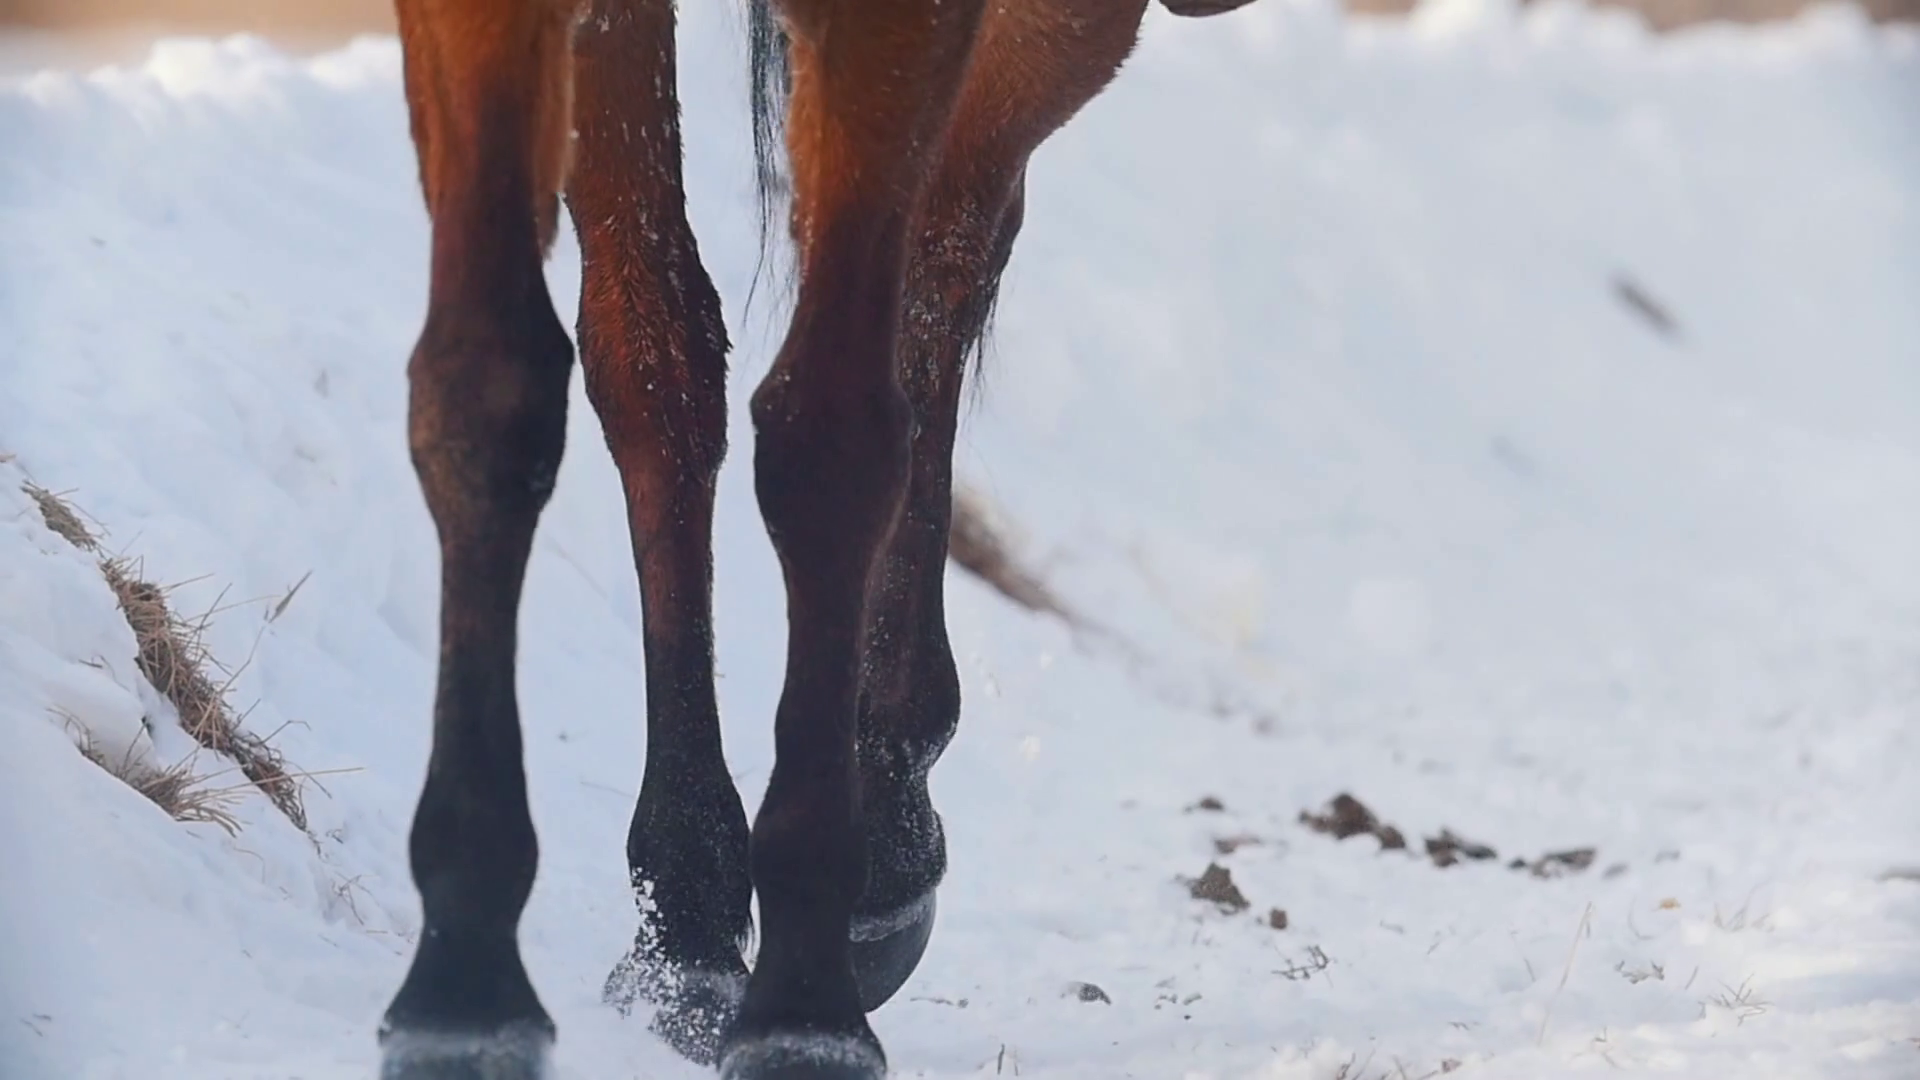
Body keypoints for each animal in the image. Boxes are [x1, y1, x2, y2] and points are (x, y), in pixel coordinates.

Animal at [377, 0, 1253, 1077]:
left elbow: (833, 444)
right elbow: (507, 384)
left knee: (946, 259)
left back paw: (885, 838)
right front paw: (467, 980)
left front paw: (803, 1005)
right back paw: (701, 917)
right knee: (685, 343)